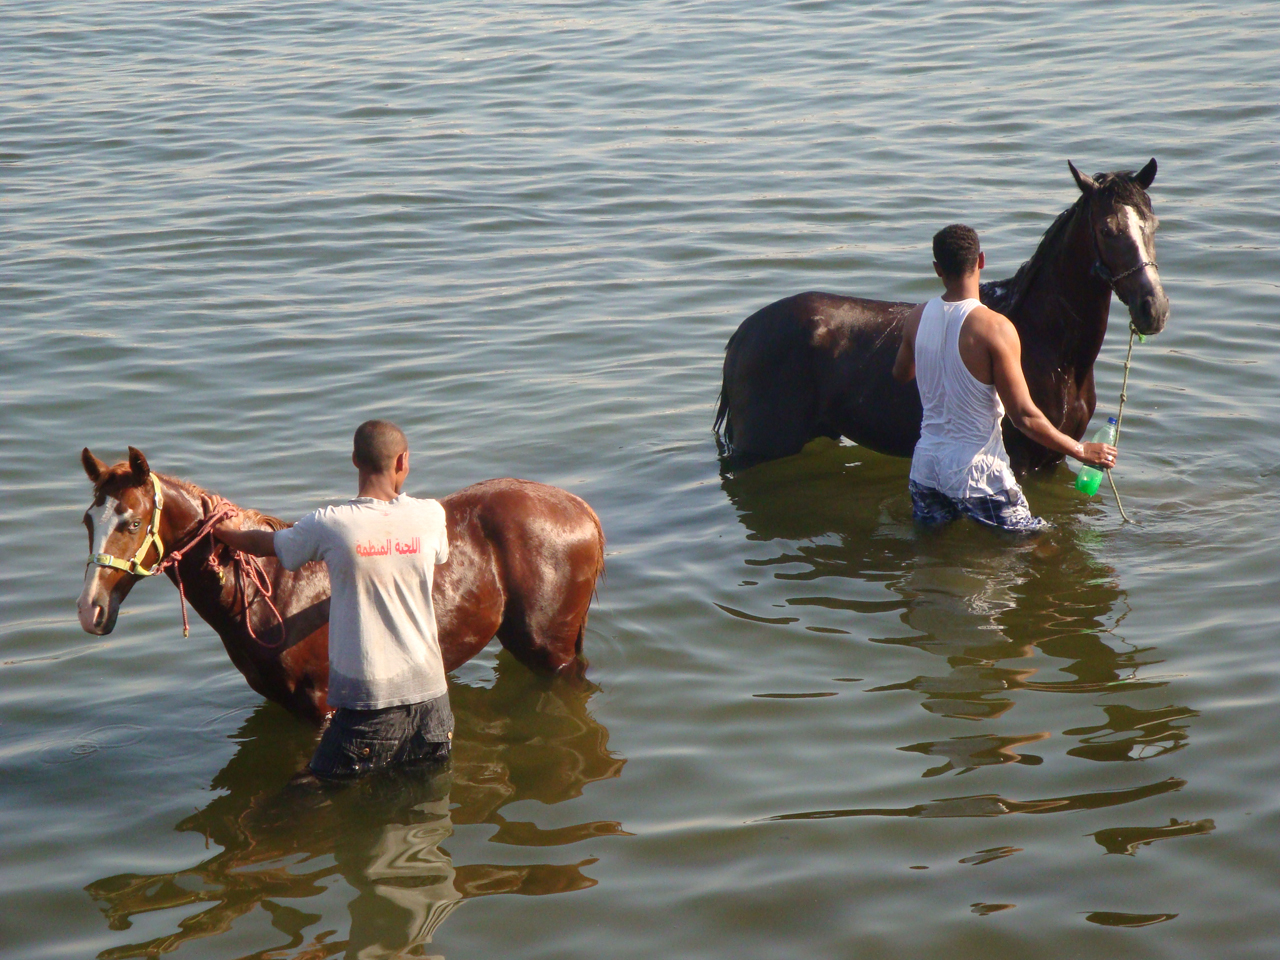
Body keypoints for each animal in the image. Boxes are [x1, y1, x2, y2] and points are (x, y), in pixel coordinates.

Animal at [77, 448, 606, 727]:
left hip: (551, 651)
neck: (271, 596)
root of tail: (582, 510)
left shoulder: (322, 710)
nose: (91, 610)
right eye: (88, 520)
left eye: (131, 522)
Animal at [721, 160, 1172, 478]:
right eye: (1108, 229)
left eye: (1152, 224)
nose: (1154, 308)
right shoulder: (1021, 462)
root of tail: (745, 332)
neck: (1050, 349)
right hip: (760, 447)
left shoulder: (1053, 460)